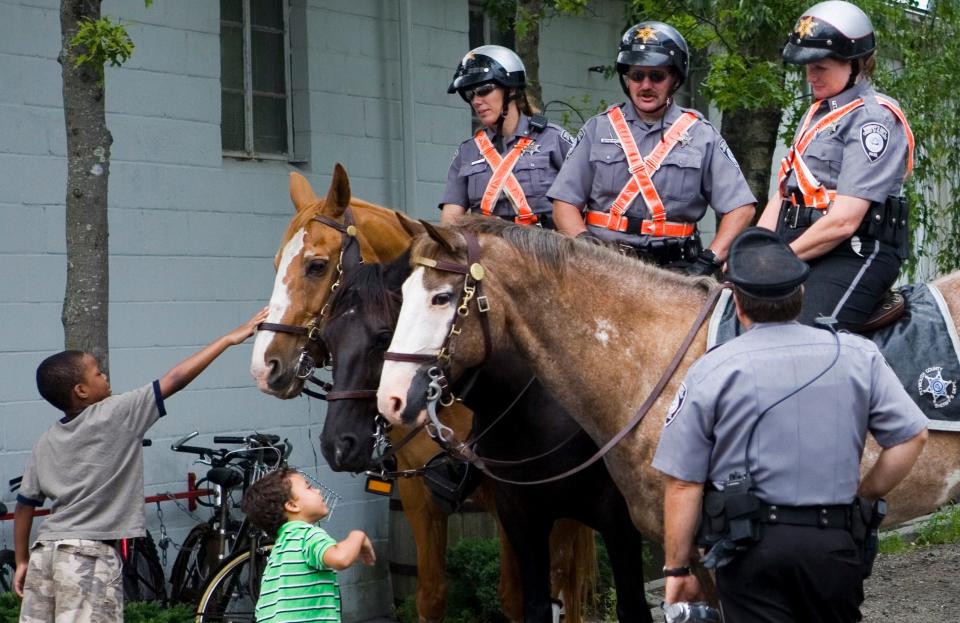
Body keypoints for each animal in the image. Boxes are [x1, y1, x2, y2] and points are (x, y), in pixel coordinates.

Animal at [251, 169, 596, 623]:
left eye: (316, 265)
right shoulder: (420, 498)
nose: (265, 367)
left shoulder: (510, 498)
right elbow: (430, 595)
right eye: (275, 265)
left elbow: (514, 596)